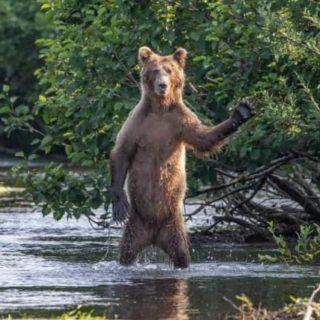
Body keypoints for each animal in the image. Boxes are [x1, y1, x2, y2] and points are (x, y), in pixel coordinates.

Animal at [110, 47, 255, 268]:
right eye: (155, 70)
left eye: (169, 70)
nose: (162, 85)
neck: (160, 109)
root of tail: (153, 235)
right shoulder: (138, 122)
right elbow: (122, 151)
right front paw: (119, 204)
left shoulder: (180, 121)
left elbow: (203, 138)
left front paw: (241, 112)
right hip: (137, 222)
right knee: (126, 251)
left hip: (173, 224)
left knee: (180, 253)